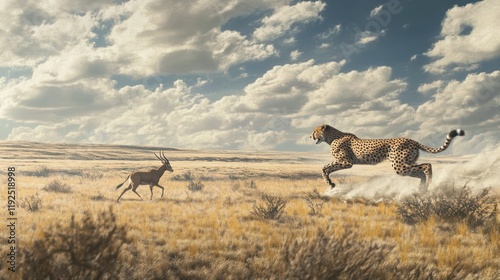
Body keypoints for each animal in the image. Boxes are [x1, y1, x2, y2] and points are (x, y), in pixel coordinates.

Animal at [308, 124, 464, 190]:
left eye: (314, 131)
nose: (310, 136)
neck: (332, 137)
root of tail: (412, 140)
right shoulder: (344, 162)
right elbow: (326, 169)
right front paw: (330, 183)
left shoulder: (346, 162)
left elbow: (324, 168)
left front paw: (329, 183)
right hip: (405, 164)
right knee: (421, 171)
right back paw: (421, 188)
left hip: (399, 165)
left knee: (427, 166)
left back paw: (428, 185)